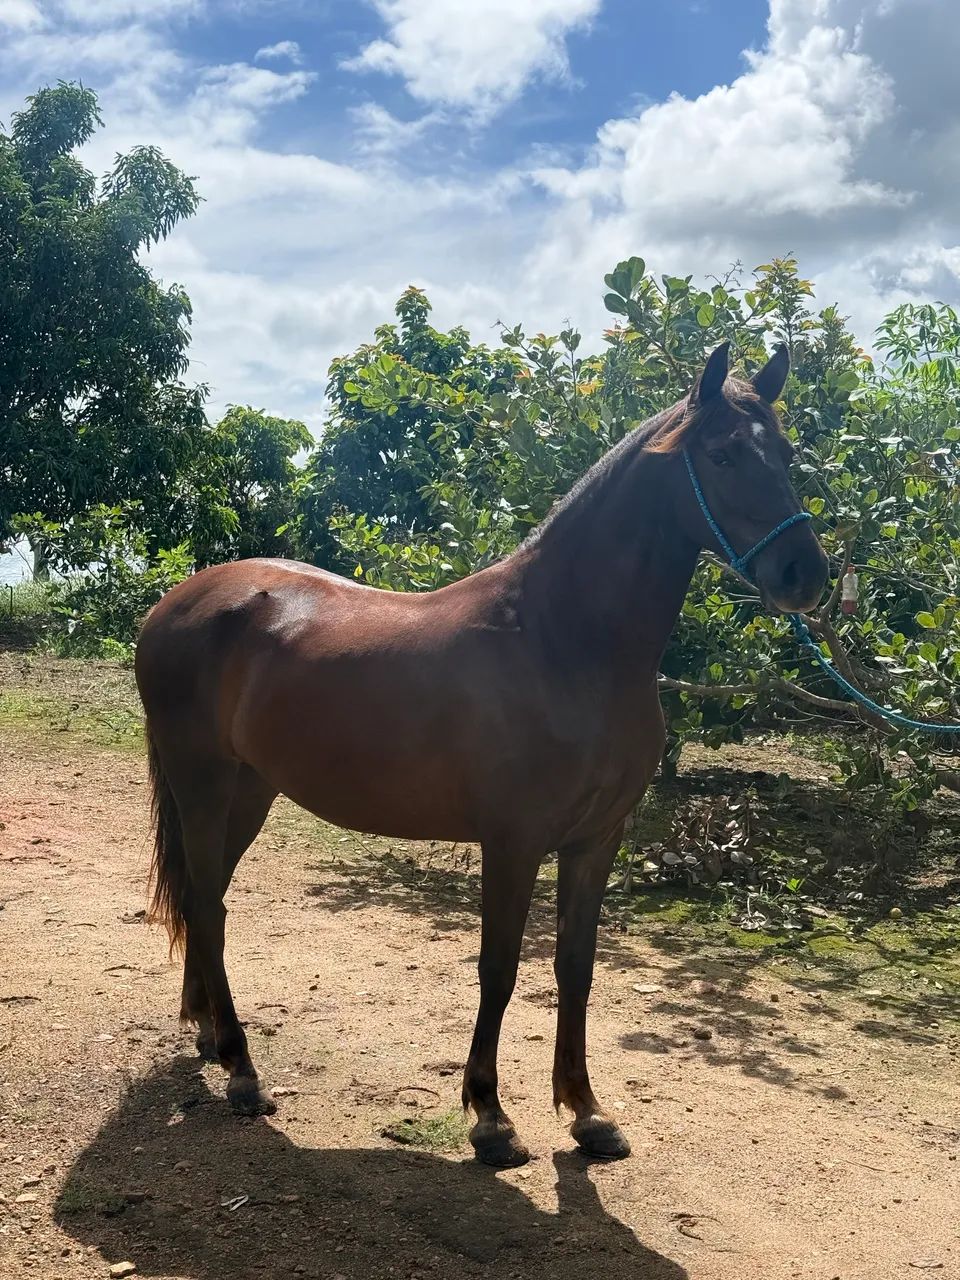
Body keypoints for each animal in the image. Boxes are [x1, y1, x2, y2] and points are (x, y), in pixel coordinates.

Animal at [135, 341, 828, 1167]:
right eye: (722, 454)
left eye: (786, 452)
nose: (806, 574)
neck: (563, 641)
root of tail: (173, 604)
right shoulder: (514, 842)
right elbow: (498, 968)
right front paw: (491, 1117)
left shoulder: (597, 840)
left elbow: (575, 966)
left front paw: (587, 1112)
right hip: (203, 784)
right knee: (206, 903)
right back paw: (242, 1071)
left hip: (249, 790)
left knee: (205, 900)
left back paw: (211, 1036)